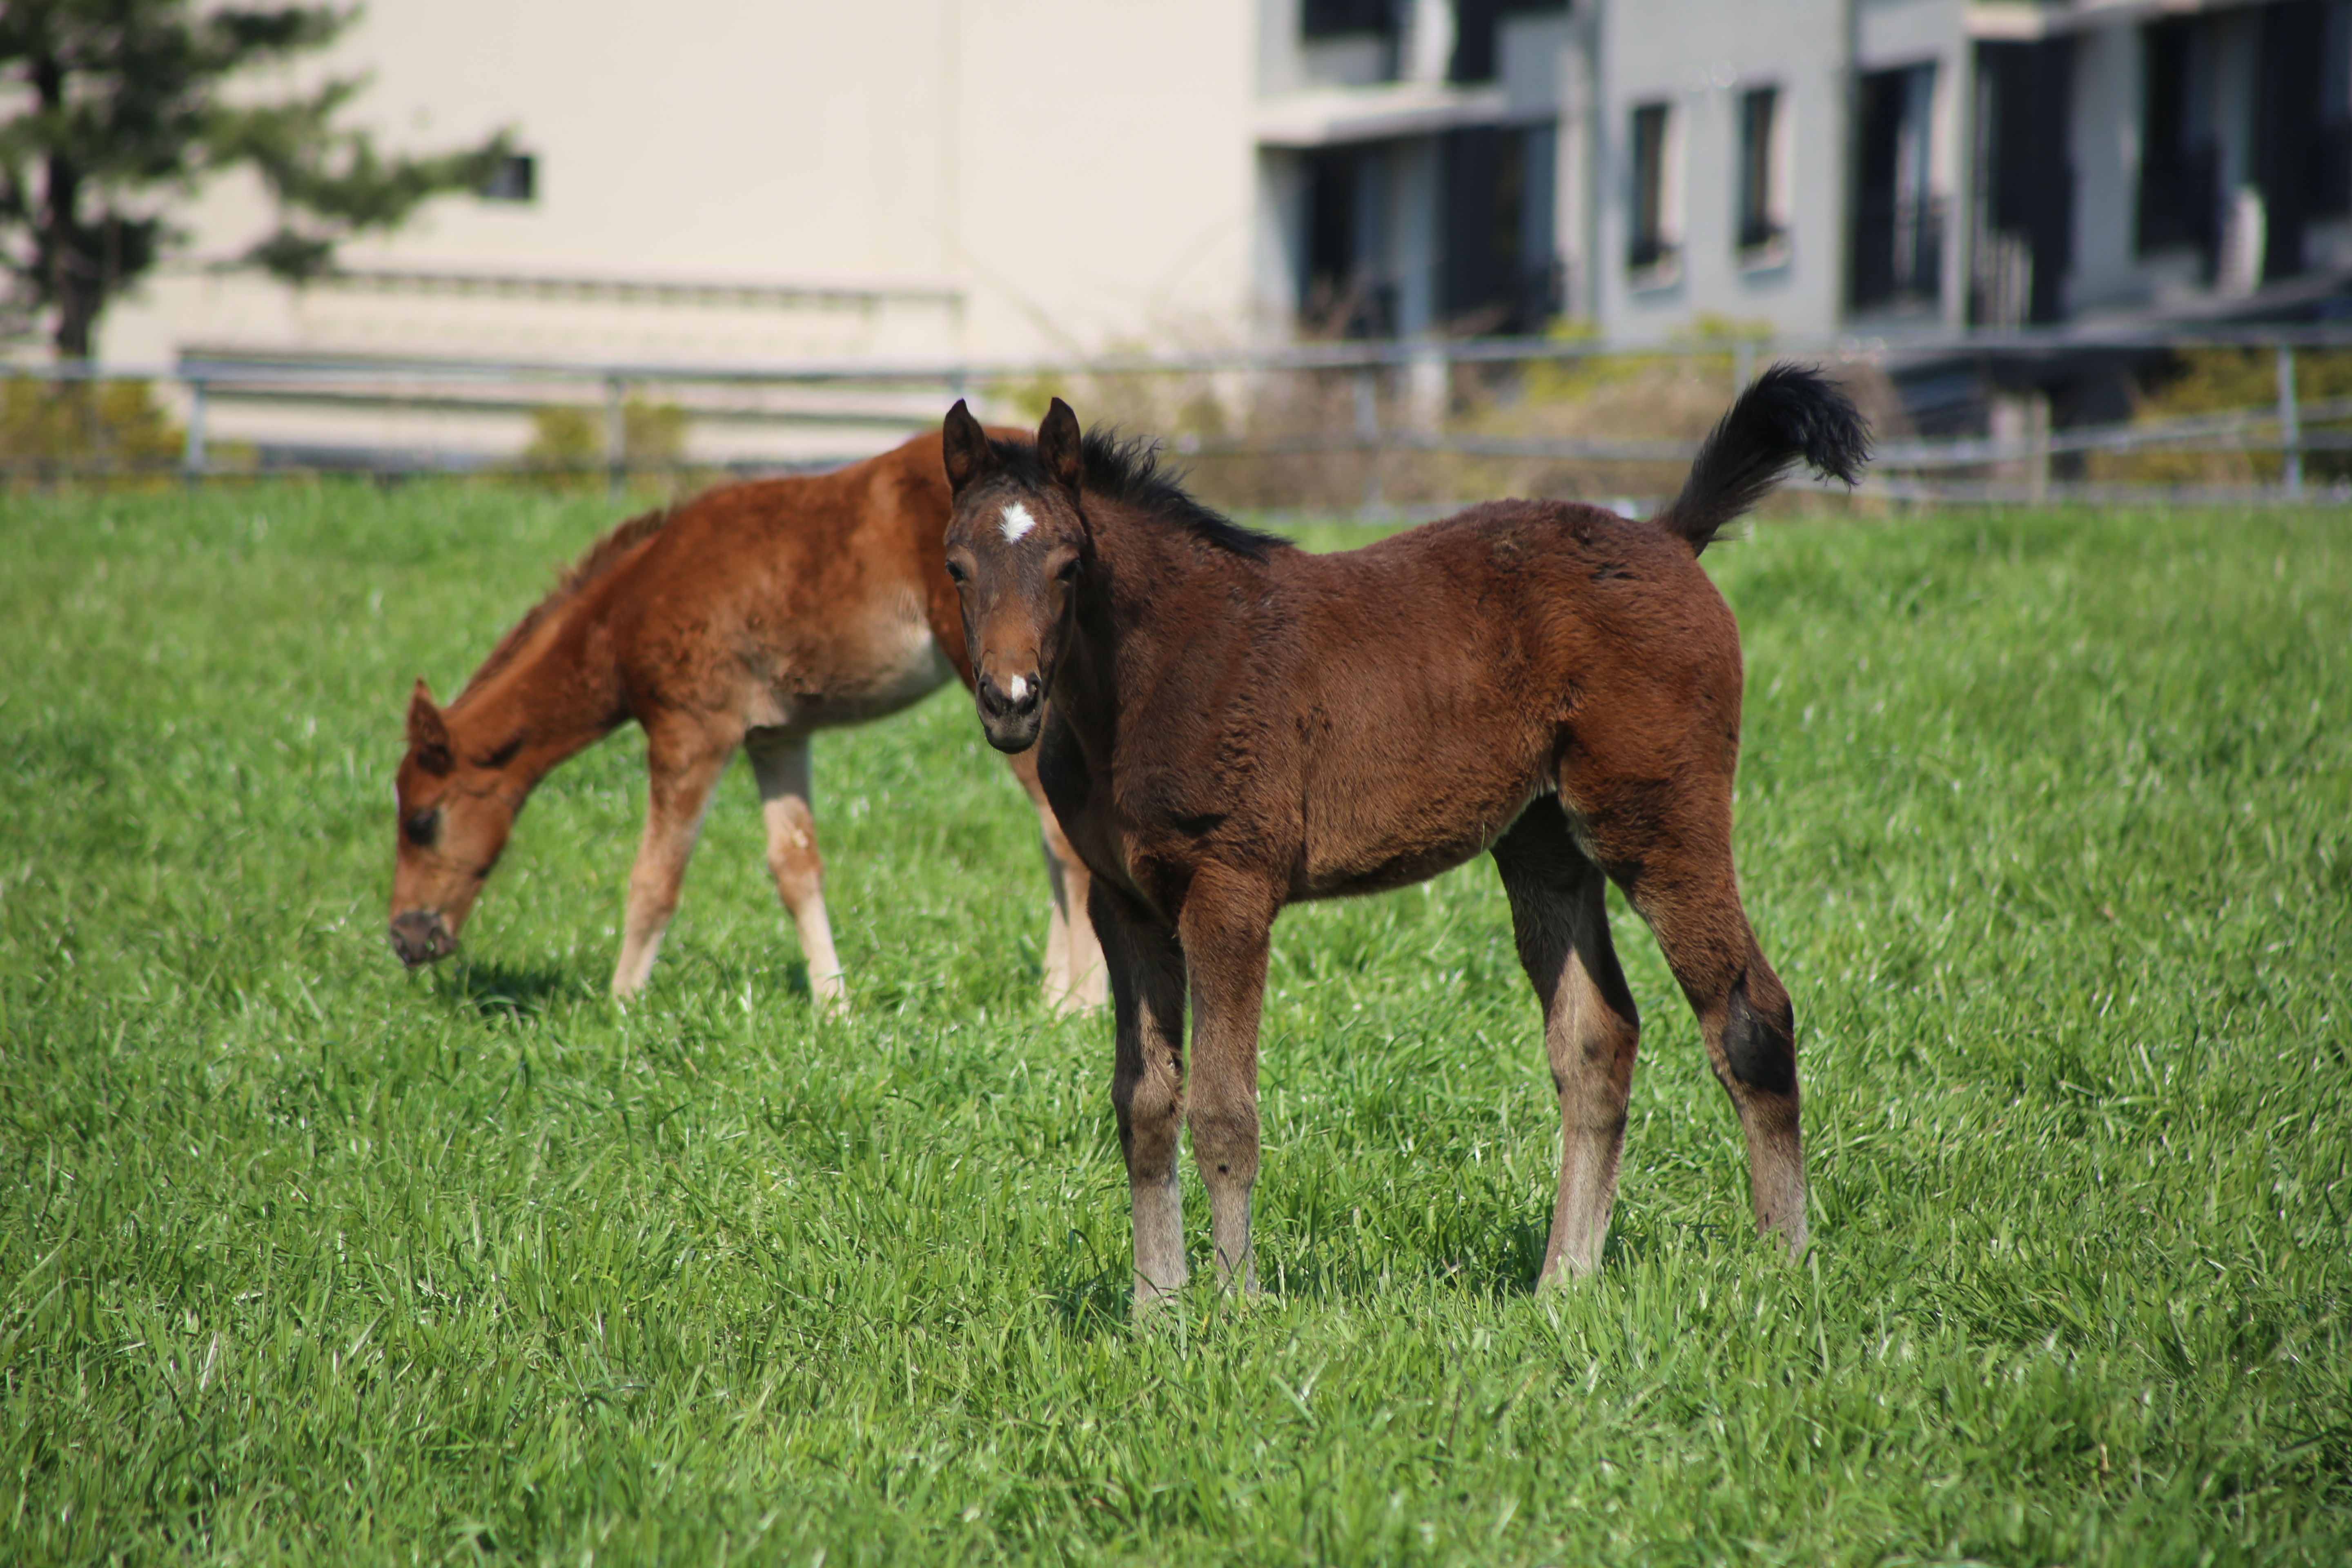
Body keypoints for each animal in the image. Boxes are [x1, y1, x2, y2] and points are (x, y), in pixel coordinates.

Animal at [390, 430, 1105, 1011]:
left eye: (422, 821)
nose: (405, 937)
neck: (626, 611)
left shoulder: (691, 729)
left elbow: (655, 879)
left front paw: (619, 1010)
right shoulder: (777, 738)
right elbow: (795, 867)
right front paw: (833, 1006)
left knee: (1063, 838)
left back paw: (1074, 1007)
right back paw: (1051, 994)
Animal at [936, 374, 1872, 1307]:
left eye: (1068, 564)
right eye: (956, 566)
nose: (1011, 701)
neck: (1154, 674)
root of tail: (1671, 537)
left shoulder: (1230, 889)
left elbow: (1223, 1111)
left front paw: (1234, 1308)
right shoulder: (1123, 902)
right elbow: (1144, 1105)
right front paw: (1156, 1309)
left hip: (1659, 821)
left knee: (1750, 1017)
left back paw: (1782, 1266)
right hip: (1543, 845)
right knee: (1596, 1042)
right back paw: (1563, 1284)